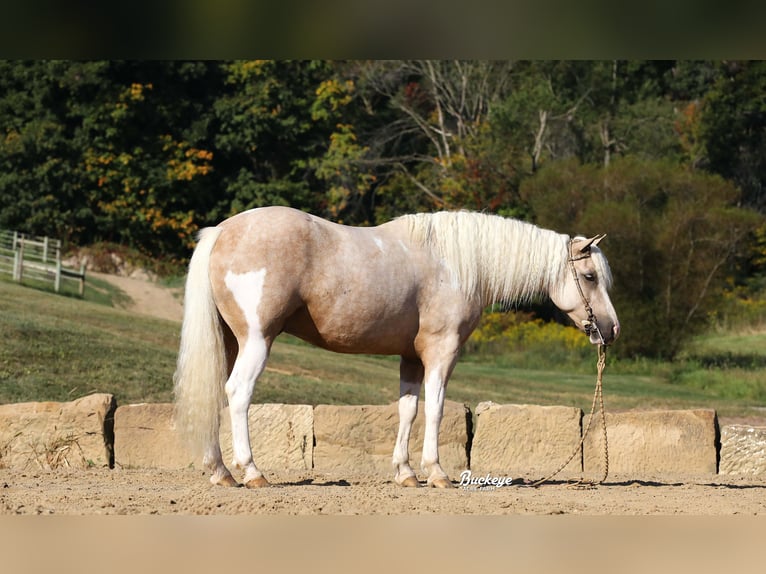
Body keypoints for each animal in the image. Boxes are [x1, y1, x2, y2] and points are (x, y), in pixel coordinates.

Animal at [172, 207, 616, 490]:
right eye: (589, 276)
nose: (610, 329)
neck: (454, 264)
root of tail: (221, 231)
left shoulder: (411, 358)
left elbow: (408, 409)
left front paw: (405, 473)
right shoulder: (442, 352)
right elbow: (436, 409)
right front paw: (436, 473)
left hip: (230, 342)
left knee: (216, 394)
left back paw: (221, 472)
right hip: (257, 340)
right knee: (238, 394)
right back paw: (251, 472)